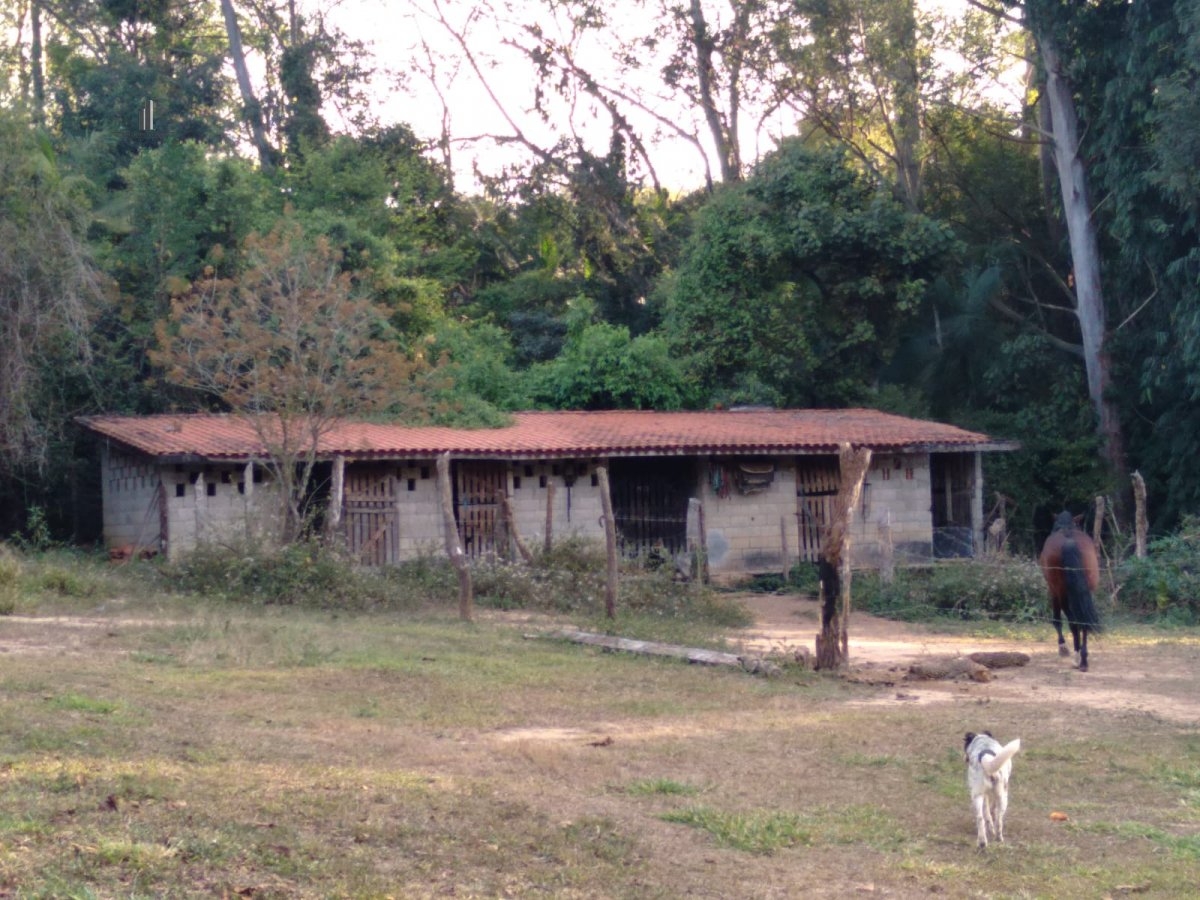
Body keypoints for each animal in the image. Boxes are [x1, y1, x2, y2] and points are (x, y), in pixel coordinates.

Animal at [1036, 513, 1099, 672]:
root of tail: (1069, 542)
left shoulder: (1053, 591)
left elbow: (1057, 620)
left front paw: (1063, 647)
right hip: (1086, 592)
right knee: (1083, 620)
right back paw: (1083, 660)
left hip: (1061, 592)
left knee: (1073, 621)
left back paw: (1077, 657)